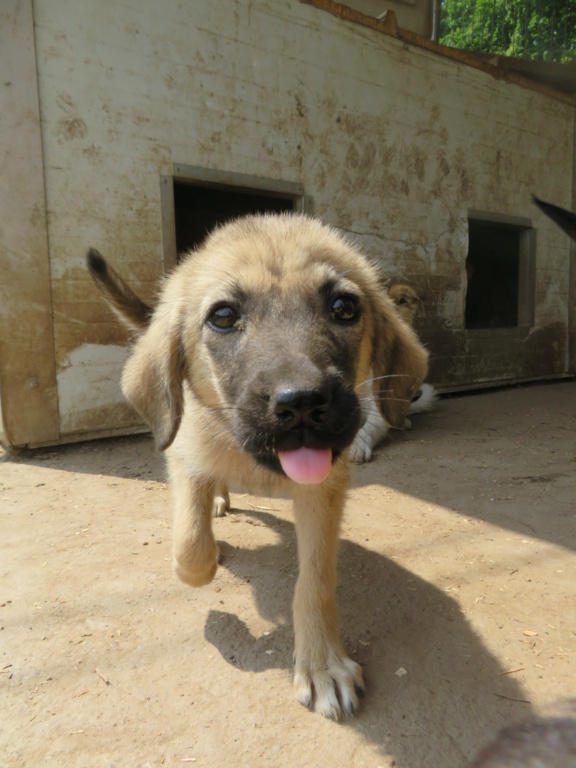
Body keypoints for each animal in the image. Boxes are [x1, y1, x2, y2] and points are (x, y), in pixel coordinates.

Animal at [86, 212, 428, 720]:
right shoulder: (186, 459)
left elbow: (314, 582)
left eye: (344, 307)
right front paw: (202, 562)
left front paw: (323, 664)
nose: (302, 402)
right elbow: (190, 545)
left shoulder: (323, 493)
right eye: (223, 316)